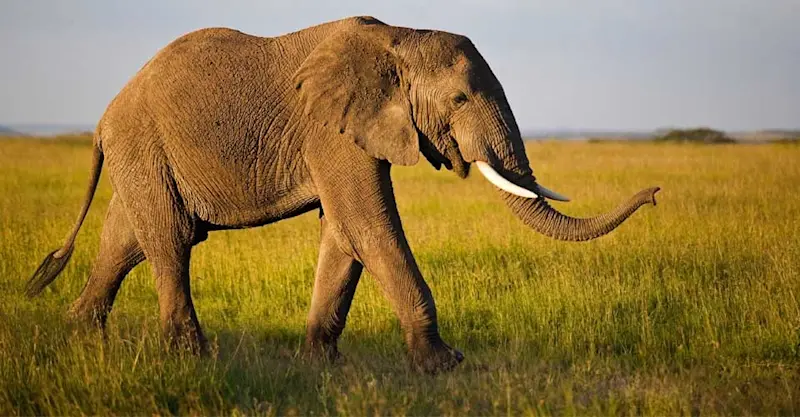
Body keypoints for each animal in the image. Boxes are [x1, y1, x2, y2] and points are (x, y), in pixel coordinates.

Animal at [26, 16, 659, 373]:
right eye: (458, 100)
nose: (654, 193)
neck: (400, 36)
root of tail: (102, 120)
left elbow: (343, 232)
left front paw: (320, 364)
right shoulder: (330, 128)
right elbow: (368, 225)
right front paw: (444, 365)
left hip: (147, 155)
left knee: (128, 239)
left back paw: (77, 336)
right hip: (143, 143)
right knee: (172, 240)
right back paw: (193, 359)